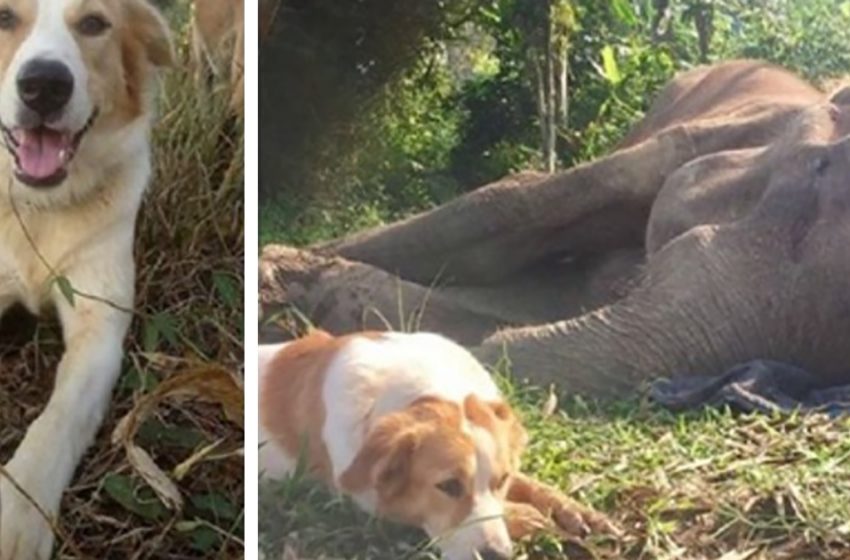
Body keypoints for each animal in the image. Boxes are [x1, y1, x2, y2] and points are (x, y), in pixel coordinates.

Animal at [0, 0, 172, 556]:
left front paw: (20, 516)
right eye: (5, 17)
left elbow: (57, 421)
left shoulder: (100, 329)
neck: (36, 207)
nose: (44, 85)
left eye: (94, 23)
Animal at [255, 330, 612, 560]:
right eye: (448, 486)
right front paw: (532, 518)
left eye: (501, 480)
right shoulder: (372, 500)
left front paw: (576, 511)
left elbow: (532, 485)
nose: (497, 556)